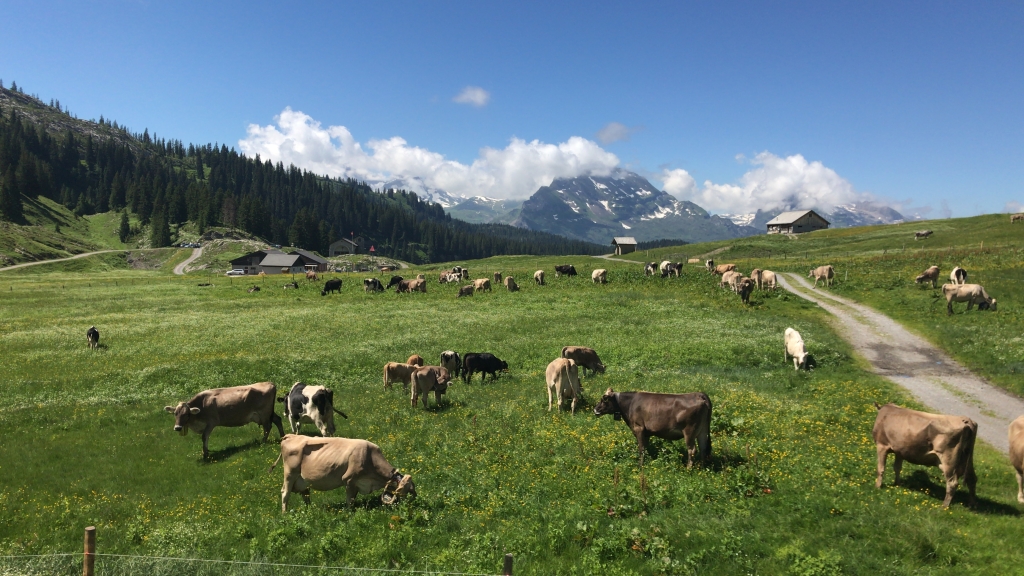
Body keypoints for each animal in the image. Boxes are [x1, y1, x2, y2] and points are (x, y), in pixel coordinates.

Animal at [272, 432, 419, 508]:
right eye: (405, 491)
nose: (409, 504)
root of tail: (291, 435)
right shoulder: (348, 479)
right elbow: (350, 501)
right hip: (290, 474)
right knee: (285, 493)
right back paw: (285, 514)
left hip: (303, 480)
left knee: (305, 494)